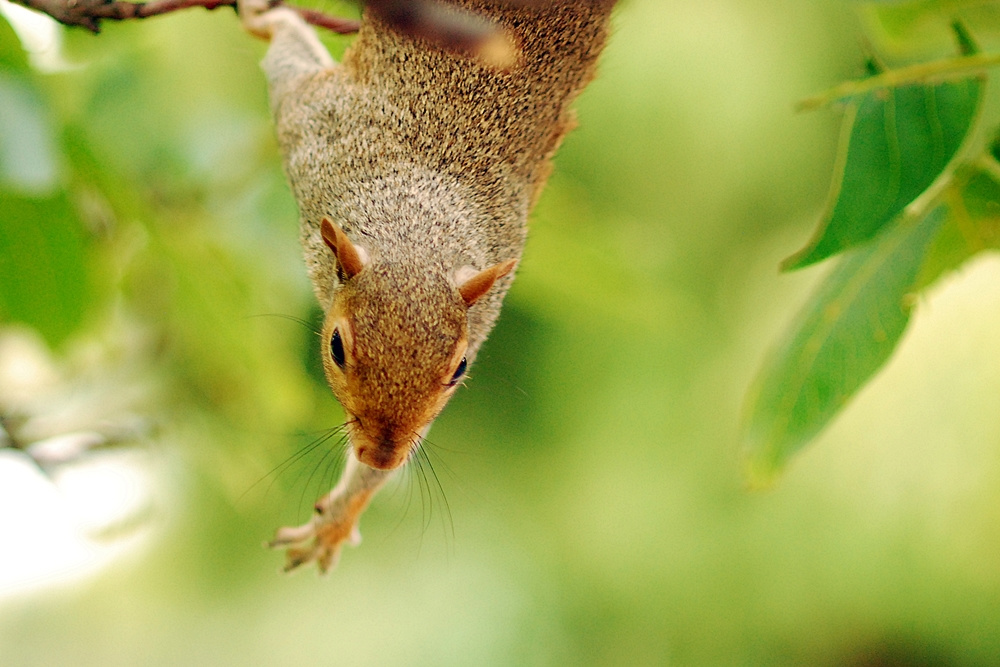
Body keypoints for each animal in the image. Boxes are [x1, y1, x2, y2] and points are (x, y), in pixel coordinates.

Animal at [240, 1, 616, 576]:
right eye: (336, 348)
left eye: (460, 368)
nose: (380, 454)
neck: (419, 227)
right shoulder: (315, 128)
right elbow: (289, 60)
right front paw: (271, 19)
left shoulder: (483, 313)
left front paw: (339, 516)